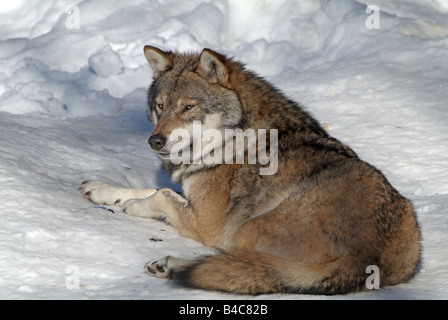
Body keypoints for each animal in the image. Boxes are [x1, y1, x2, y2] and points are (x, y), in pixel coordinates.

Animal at [79, 45, 420, 296]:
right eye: (161, 106)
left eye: (188, 107)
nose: (155, 141)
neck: (233, 136)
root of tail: (367, 258)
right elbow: (149, 188)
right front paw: (103, 191)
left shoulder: (208, 223)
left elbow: (160, 193)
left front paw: (133, 207)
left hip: (246, 229)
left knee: (241, 267)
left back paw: (172, 265)